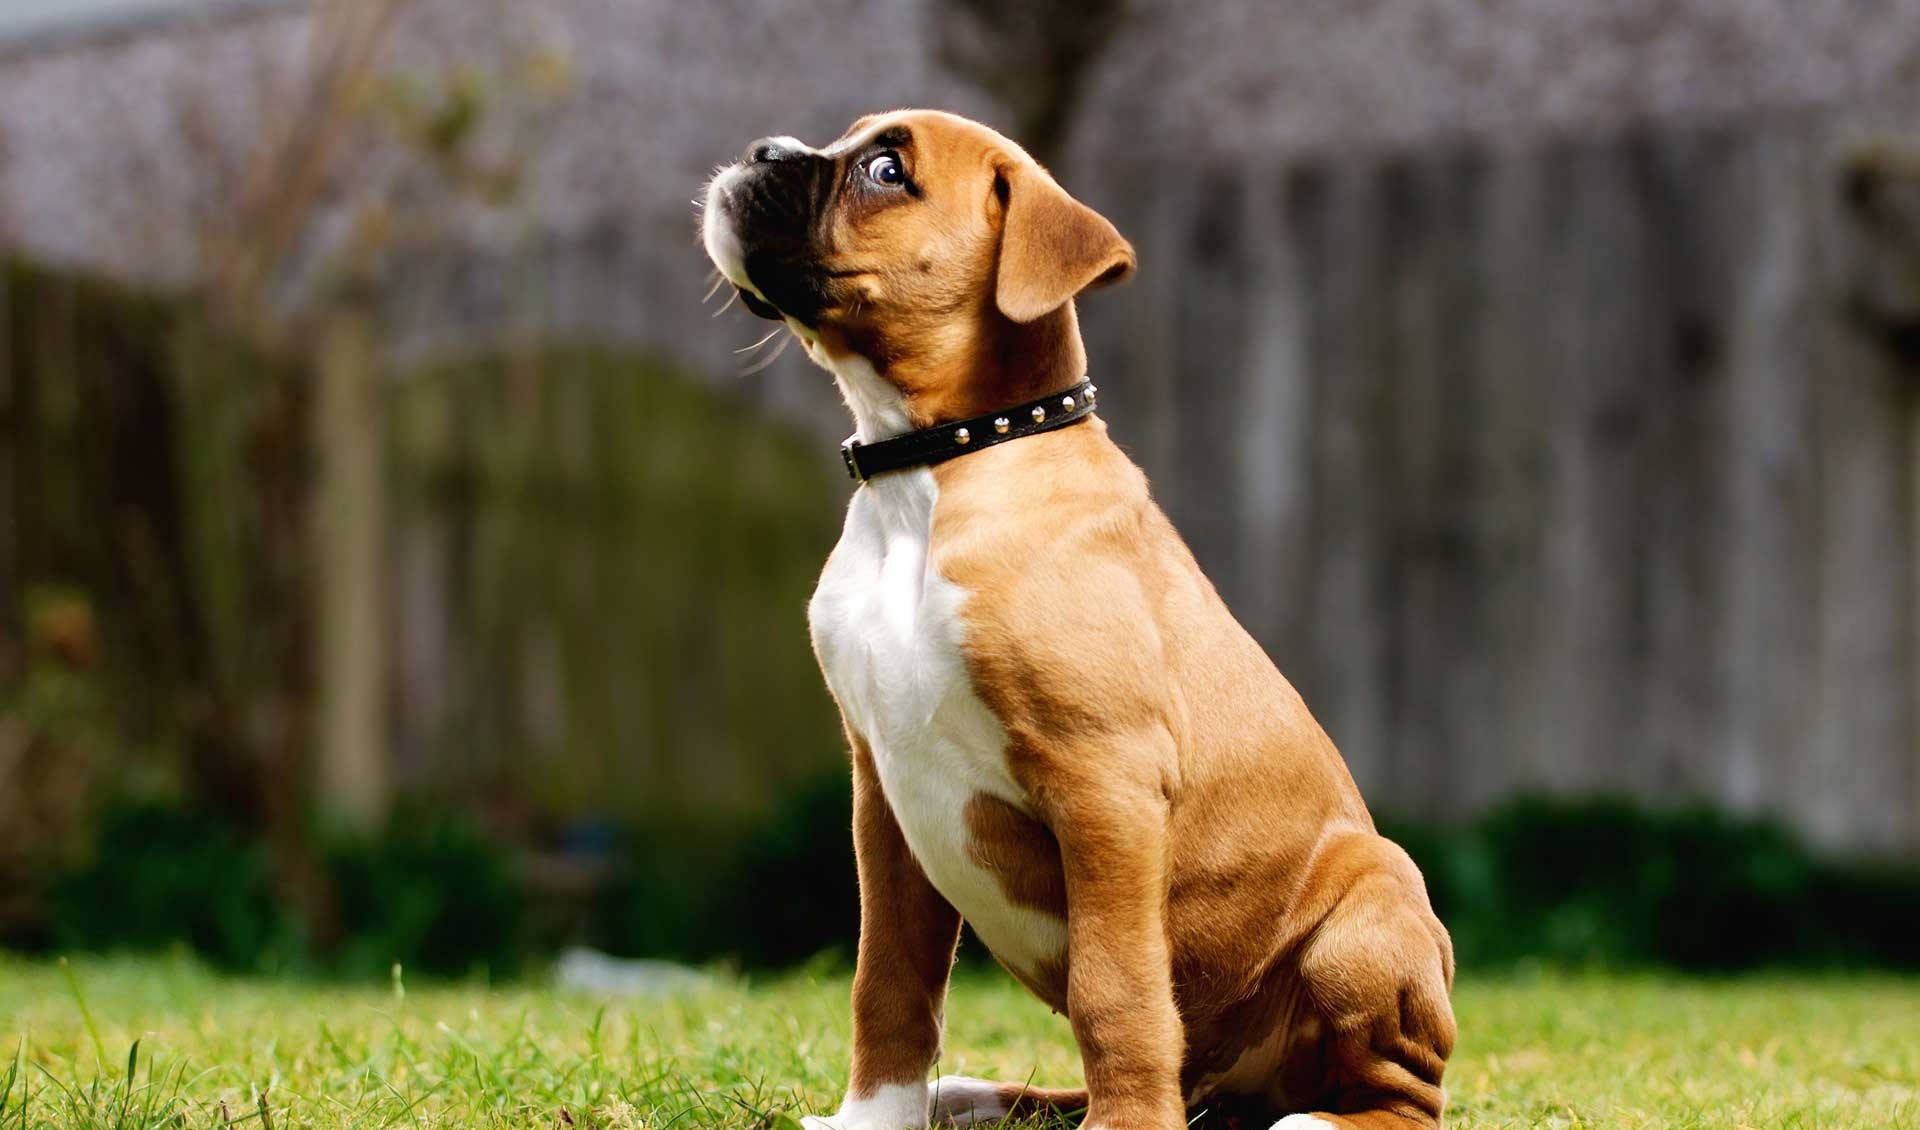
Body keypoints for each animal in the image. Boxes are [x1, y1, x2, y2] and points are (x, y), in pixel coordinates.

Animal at [702, 107, 1451, 1128]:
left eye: (888, 171)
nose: (762, 150)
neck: (932, 472)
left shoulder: (1106, 782)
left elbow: (1116, 985)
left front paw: (1128, 1125)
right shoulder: (883, 796)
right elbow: (887, 981)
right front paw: (874, 1118)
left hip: (1373, 906)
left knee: (1400, 1090)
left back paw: (1309, 1120)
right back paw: (983, 1096)